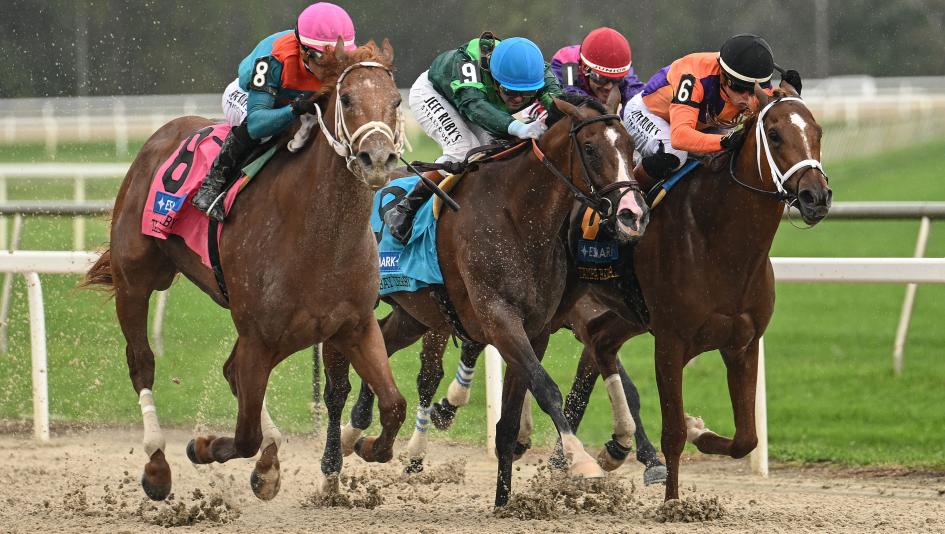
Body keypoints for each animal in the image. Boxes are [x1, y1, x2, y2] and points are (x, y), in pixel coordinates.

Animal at [82, 40, 408, 502]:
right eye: (345, 98)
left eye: (396, 101)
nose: (377, 158)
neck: (320, 237)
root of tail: (165, 132)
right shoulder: (260, 334)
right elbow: (244, 435)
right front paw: (202, 447)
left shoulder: (354, 327)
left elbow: (395, 404)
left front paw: (367, 446)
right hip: (136, 281)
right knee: (142, 362)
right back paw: (158, 466)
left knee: (229, 371)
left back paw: (267, 464)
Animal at [331, 90, 650, 507]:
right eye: (591, 148)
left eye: (629, 145)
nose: (633, 215)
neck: (517, 217)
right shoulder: (499, 319)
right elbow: (546, 387)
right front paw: (580, 460)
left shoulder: (535, 329)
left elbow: (510, 421)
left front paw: (503, 502)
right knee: (339, 374)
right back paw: (330, 468)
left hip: (416, 313)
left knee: (382, 343)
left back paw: (366, 438)